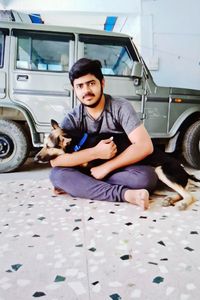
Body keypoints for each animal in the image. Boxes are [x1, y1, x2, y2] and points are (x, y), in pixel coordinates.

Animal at [34, 118, 200, 210]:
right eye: (44, 144)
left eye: (48, 146)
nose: (35, 158)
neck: (80, 143)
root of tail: (185, 172)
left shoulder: (90, 169)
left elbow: (77, 167)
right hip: (159, 185)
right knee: (180, 193)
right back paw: (170, 199)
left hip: (161, 170)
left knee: (190, 196)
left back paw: (183, 204)